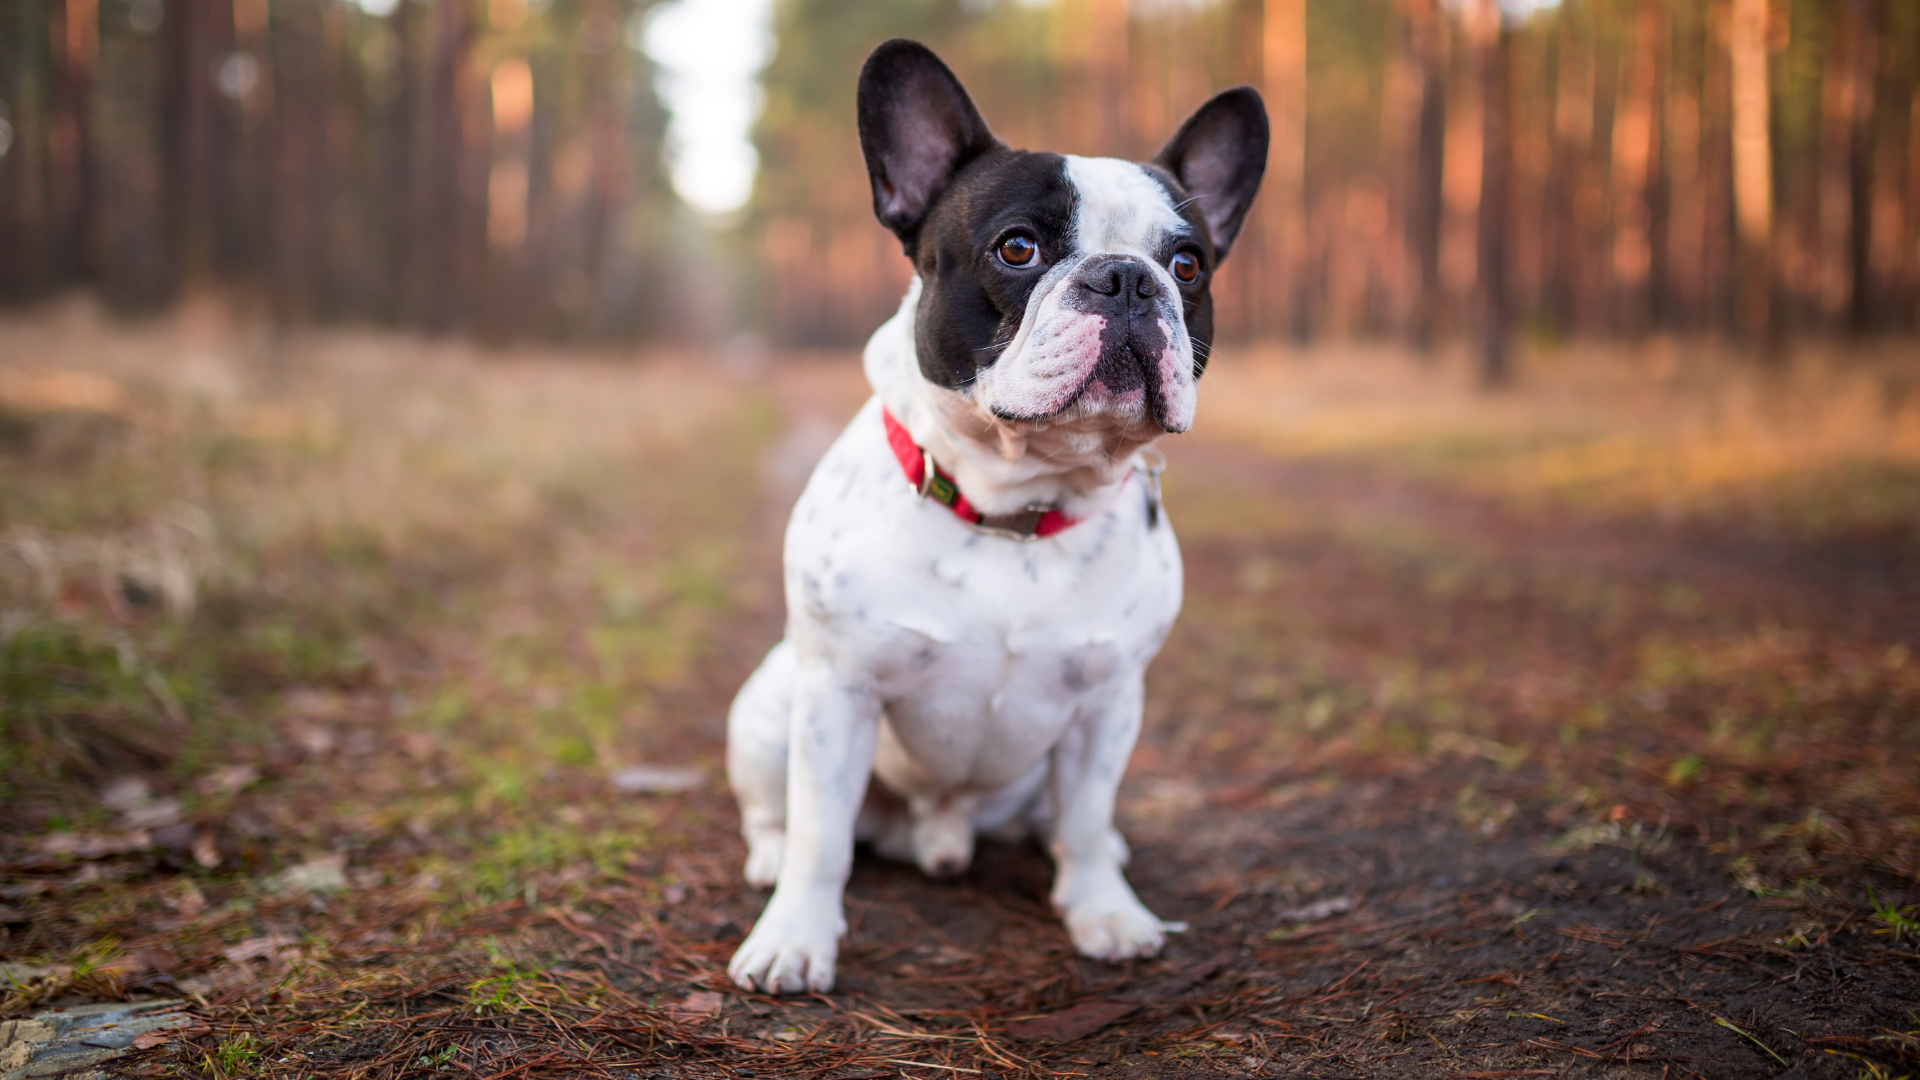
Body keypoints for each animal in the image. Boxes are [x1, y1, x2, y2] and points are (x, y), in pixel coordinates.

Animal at [725, 37, 1267, 991]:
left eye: (1188, 265)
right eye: (1018, 249)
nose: (1128, 280)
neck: (1018, 508)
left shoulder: (1108, 705)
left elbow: (1084, 816)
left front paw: (1103, 913)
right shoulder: (838, 694)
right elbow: (823, 836)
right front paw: (794, 938)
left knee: (1065, 821)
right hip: (768, 703)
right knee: (779, 814)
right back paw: (770, 858)